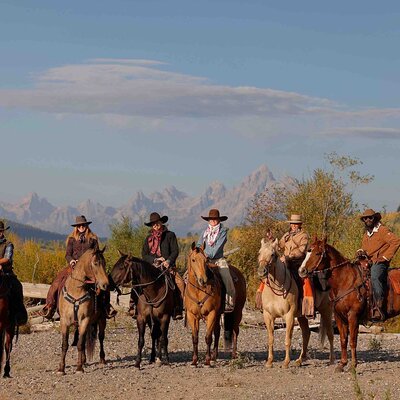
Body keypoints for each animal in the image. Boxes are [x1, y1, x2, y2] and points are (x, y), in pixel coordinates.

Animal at [57, 247, 108, 376]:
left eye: (104, 263)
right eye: (95, 263)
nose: (105, 284)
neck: (76, 290)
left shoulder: (84, 320)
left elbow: (80, 344)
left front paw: (79, 368)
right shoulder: (64, 322)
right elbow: (65, 344)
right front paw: (61, 369)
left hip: (102, 320)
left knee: (100, 337)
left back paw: (102, 359)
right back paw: (84, 360)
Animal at [256, 238, 334, 368]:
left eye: (273, 254)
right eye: (259, 253)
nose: (262, 271)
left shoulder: (289, 316)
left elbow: (288, 339)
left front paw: (286, 362)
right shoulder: (268, 316)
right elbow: (271, 339)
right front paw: (269, 361)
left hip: (326, 311)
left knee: (330, 333)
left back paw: (331, 360)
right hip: (302, 316)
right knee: (306, 333)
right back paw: (300, 360)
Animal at [298, 238, 400, 372]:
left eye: (317, 253)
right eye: (308, 251)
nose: (301, 271)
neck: (345, 280)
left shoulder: (353, 316)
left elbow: (352, 340)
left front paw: (353, 365)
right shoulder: (339, 317)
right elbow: (343, 340)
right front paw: (342, 364)